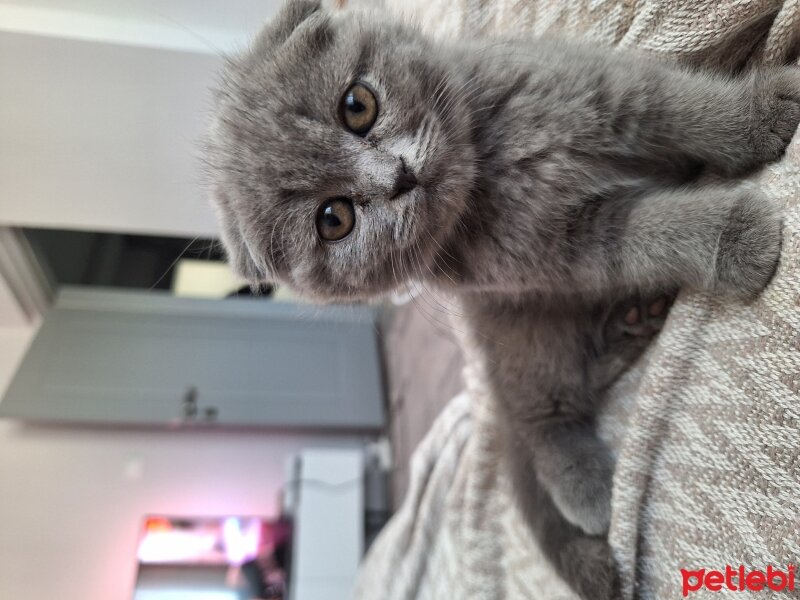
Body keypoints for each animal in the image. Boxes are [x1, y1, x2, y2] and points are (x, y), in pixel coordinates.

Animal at [205, 2, 792, 596]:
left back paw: (636, 319)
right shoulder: (570, 247)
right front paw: (738, 237)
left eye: (357, 105)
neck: (486, 164)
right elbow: (655, 232)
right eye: (334, 219)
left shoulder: (608, 91)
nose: (398, 177)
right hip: (521, 331)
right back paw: (587, 491)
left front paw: (768, 110)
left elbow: (685, 107)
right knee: (540, 414)